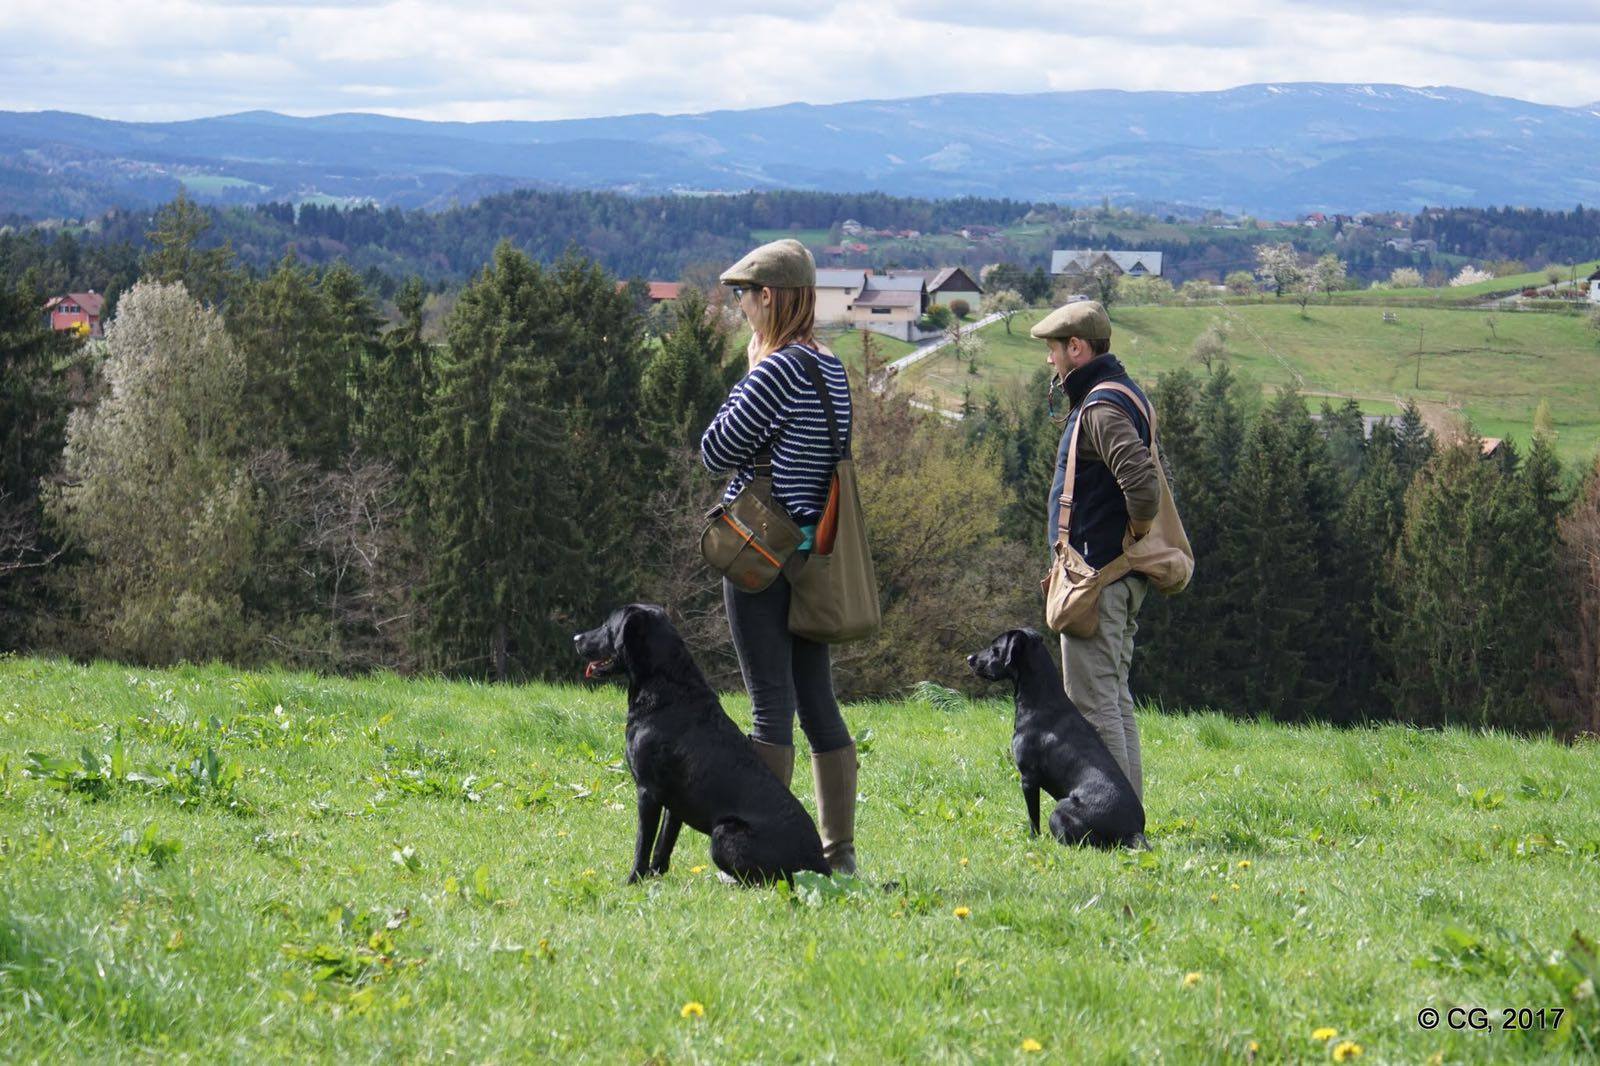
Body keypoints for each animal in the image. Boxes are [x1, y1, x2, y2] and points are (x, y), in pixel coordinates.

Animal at [576, 601, 832, 883]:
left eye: (607, 625)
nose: (576, 638)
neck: (668, 688)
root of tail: (820, 863)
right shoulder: (674, 801)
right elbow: (664, 842)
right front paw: (656, 875)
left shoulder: (647, 791)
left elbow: (643, 843)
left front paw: (634, 879)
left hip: (723, 833)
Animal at [966, 624, 1145, 845]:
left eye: (995, 649)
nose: (969, 658)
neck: (1040, 699)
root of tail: (1133, 831)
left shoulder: (1028, 778)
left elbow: (1033, 817)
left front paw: (1032, 839)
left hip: (1060, 809)